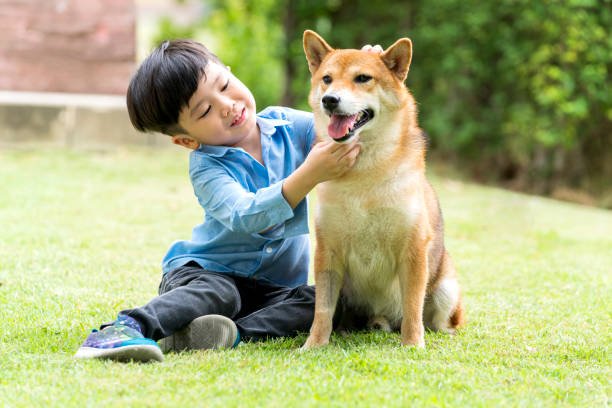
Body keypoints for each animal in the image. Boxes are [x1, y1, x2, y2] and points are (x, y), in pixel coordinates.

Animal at [302, 30, 464, 350]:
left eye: (363, 78)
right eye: (327, 79)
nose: (330, 99)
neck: (365, 176)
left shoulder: (413, 250)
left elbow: (413, 308)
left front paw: (413, 345)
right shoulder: (328, 250)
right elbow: (323, 310)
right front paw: (313, 345)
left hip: (446, 288)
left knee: (438, 321)